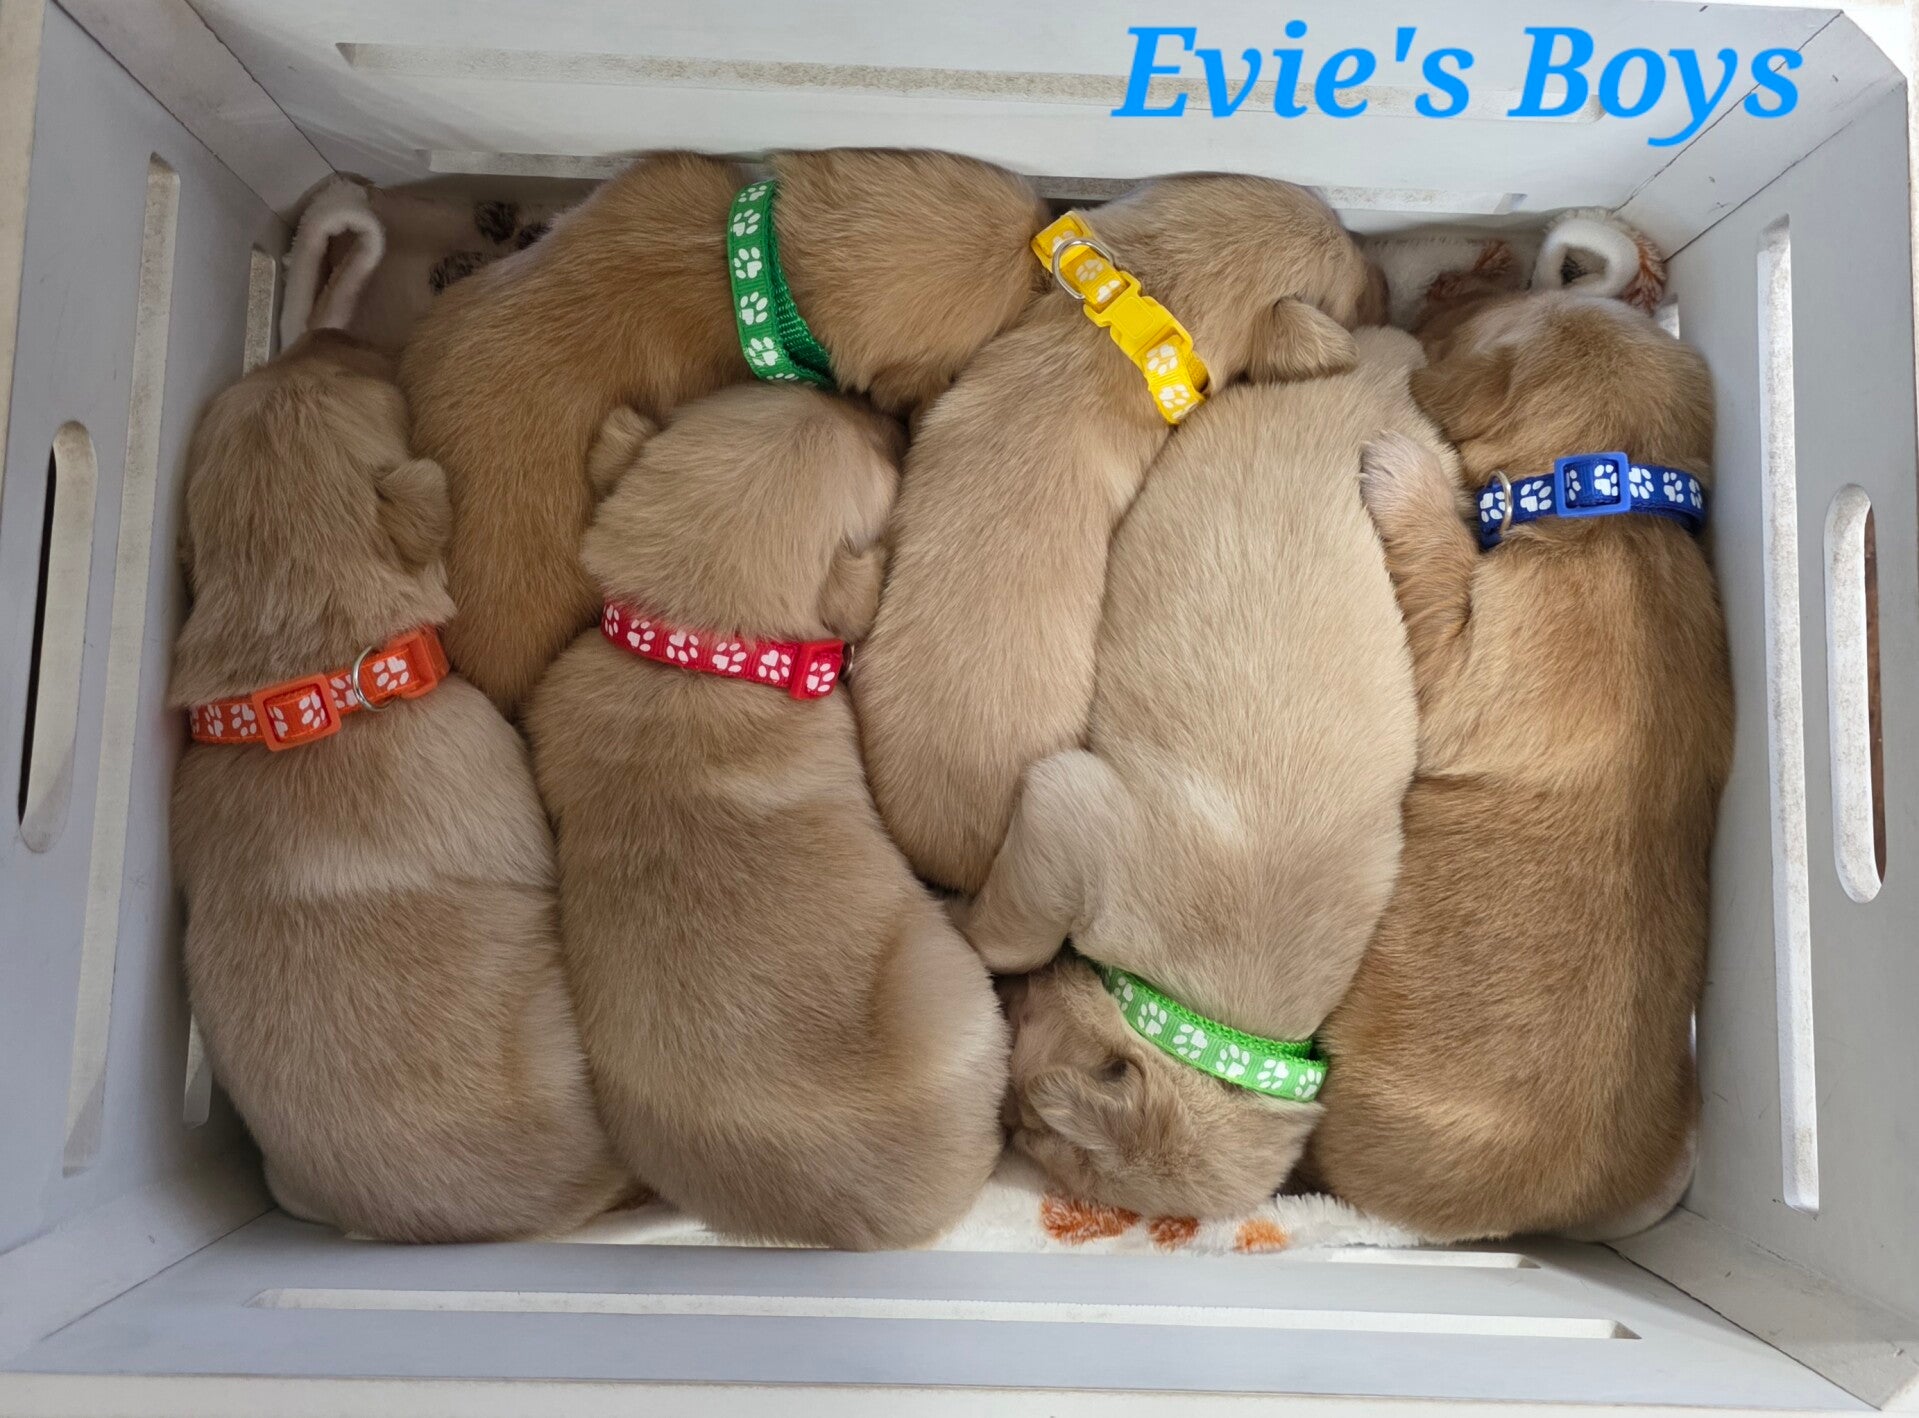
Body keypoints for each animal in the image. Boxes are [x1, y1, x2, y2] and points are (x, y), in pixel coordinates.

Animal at [961, 327, 1427, 1217]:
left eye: (1036, 1137)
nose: (1005, 1130)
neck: (1204, 1019)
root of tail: (1380, 371)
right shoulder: (1068, 814)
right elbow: (1009, 937)